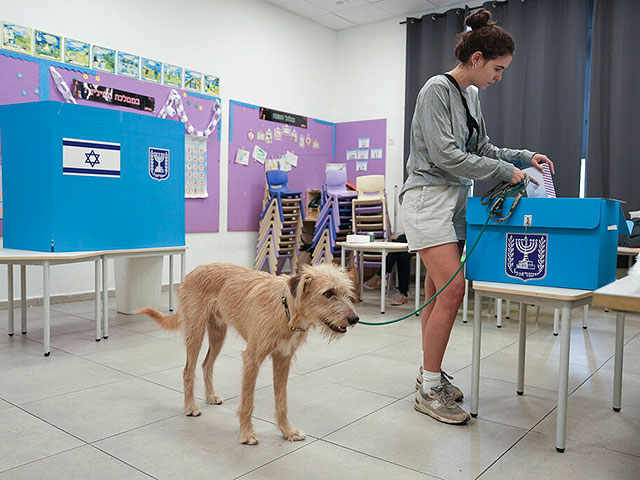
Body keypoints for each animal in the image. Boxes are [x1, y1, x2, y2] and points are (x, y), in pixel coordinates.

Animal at [139, 262, 358, 446]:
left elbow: (282, 401)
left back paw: (210, 396)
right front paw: (246, 434)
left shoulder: (283, 360)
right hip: (195, 333)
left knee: (206, 364)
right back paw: (190, 407)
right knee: (188, 371)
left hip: (218, 334)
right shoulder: (252, 359)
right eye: (328, 293)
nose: (354, 319)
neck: (285, 308)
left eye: (346, 292)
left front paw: (287, 431)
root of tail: (193, 271)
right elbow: (247, 402)